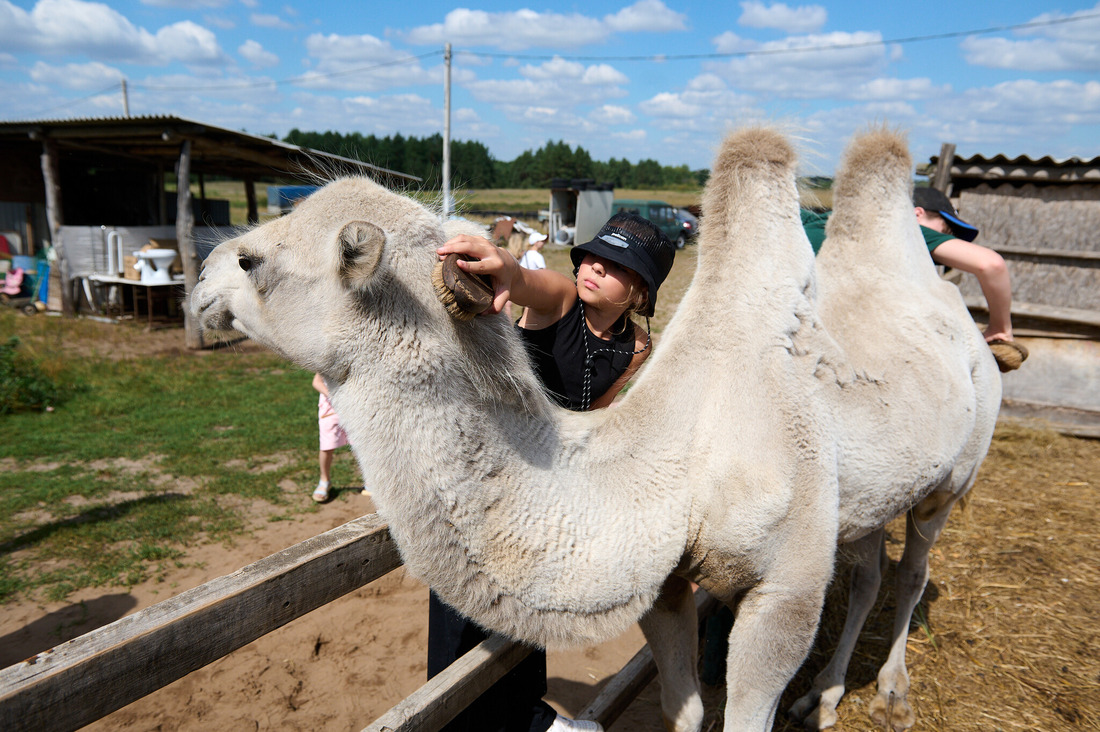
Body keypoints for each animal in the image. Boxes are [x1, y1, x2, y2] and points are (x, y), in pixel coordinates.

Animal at [193, 127, 1003, 730]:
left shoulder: (788, 589)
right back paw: (826, 697)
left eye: (251, 260)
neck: (675, 467)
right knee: (867, 571)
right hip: (865, 498)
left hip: (957, 472)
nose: (199, 281)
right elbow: (684, 708)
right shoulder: (669, 586)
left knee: (912, 570)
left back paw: (891, 689)